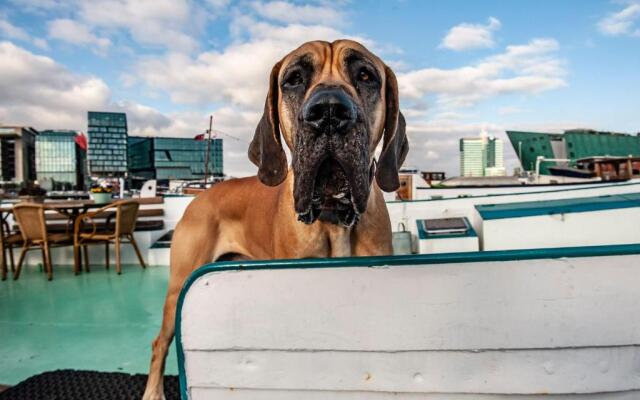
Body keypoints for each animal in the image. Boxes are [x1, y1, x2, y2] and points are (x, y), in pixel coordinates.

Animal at [142, 38, 408, 400]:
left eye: (366, 76)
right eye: (293, 79)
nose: (328, 112)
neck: (332, 218)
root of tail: (199, 196)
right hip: (178, 288)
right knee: (159, 343)